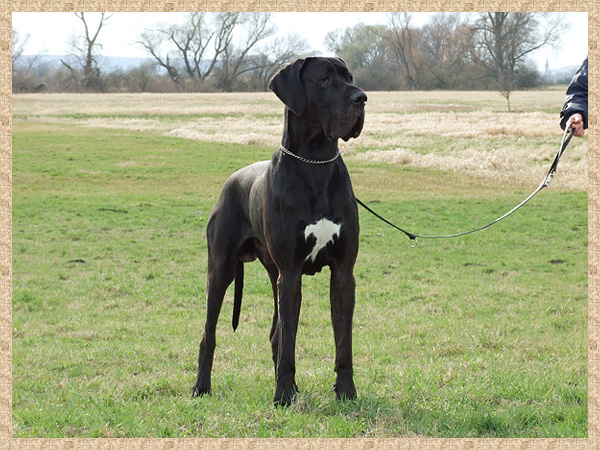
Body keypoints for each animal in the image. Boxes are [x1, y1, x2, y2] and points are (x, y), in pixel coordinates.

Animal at [192, 57, 367, 406]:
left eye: (349, 76)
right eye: (325, 79)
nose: (362, 98)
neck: (316, 162)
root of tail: (231, 180)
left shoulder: (342, 273)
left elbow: (343, 342)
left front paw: (346, 391)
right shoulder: (291, 272)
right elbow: (289, 343)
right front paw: (283, 395)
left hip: (274, 274)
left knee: (276, 333)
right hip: (222, 269)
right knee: (210, 333)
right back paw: (201, 386)